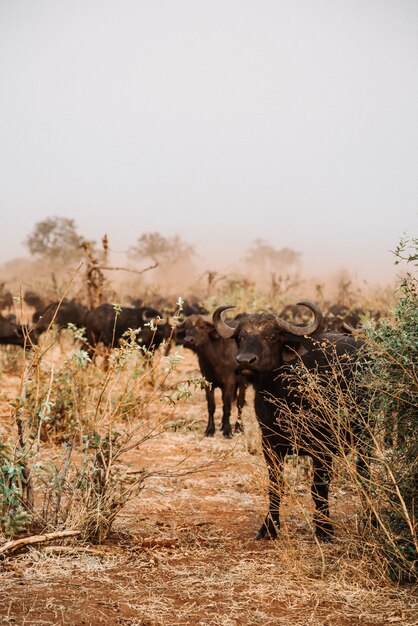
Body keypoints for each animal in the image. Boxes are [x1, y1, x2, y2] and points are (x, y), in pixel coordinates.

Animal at [214, 300, 368, 540]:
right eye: (240, 337)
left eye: (271, 337)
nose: (245, 361)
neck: (283, 393)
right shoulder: (269, 444)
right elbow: (275, 485)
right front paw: (268, 528)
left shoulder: (322, 447)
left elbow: (319, 487)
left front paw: (324, 530)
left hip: (366, 436)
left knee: (365, 476)